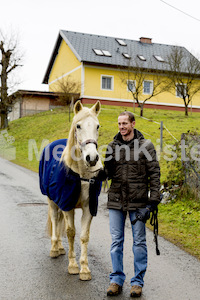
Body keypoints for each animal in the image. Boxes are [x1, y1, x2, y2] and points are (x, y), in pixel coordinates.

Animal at [45, 101, 101, 282]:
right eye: (78, 126)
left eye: (97, 126)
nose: (92, 158)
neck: (80, 174)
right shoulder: (67, 204)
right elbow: (71, 233)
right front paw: (73, 266)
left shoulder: (88, 208)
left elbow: (84, 236)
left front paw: (84, 269)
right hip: (53, 202)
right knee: (55, 220)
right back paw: (54, 248)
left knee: (59, 222)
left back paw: (60, 247)